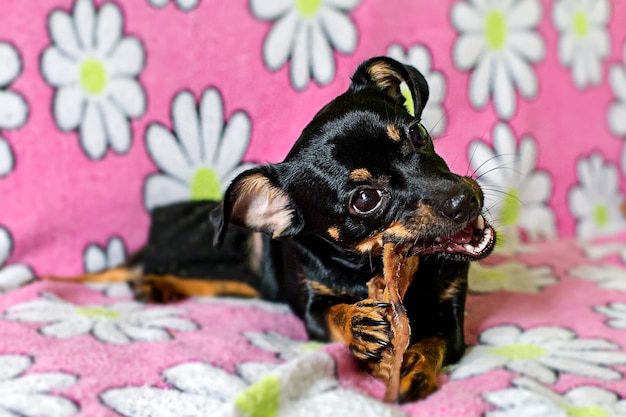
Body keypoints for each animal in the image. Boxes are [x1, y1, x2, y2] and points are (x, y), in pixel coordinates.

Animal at [63, 57, 494, 402]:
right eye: (365, 199)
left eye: (418, 134)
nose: (463, 200)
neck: (365, 267)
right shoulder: (311, 310)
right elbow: (331, 314)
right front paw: (358, 323)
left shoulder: (451, 317)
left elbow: (432, 342)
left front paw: (413, 370)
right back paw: (155, 283)